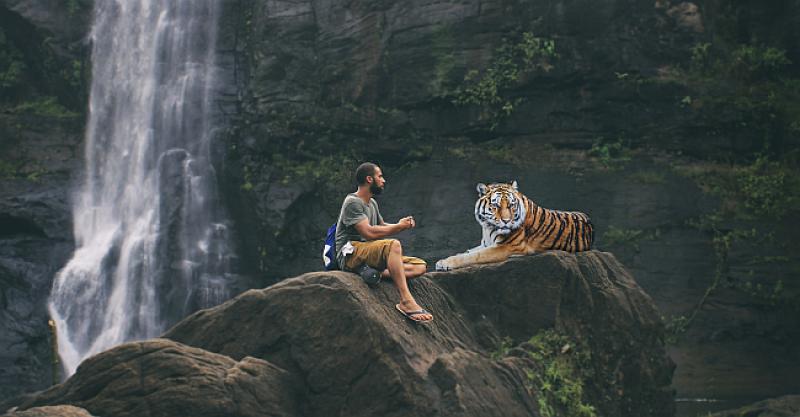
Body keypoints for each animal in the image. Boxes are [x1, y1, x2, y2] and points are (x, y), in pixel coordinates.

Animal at [434, 180, 592, 272]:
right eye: (496, 206)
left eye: (511, 205)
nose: (506, 221)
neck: (488, 226)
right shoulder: (486, 244)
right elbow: (468, 251)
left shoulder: (506, 246)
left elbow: (473, 256)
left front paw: (444, 263)